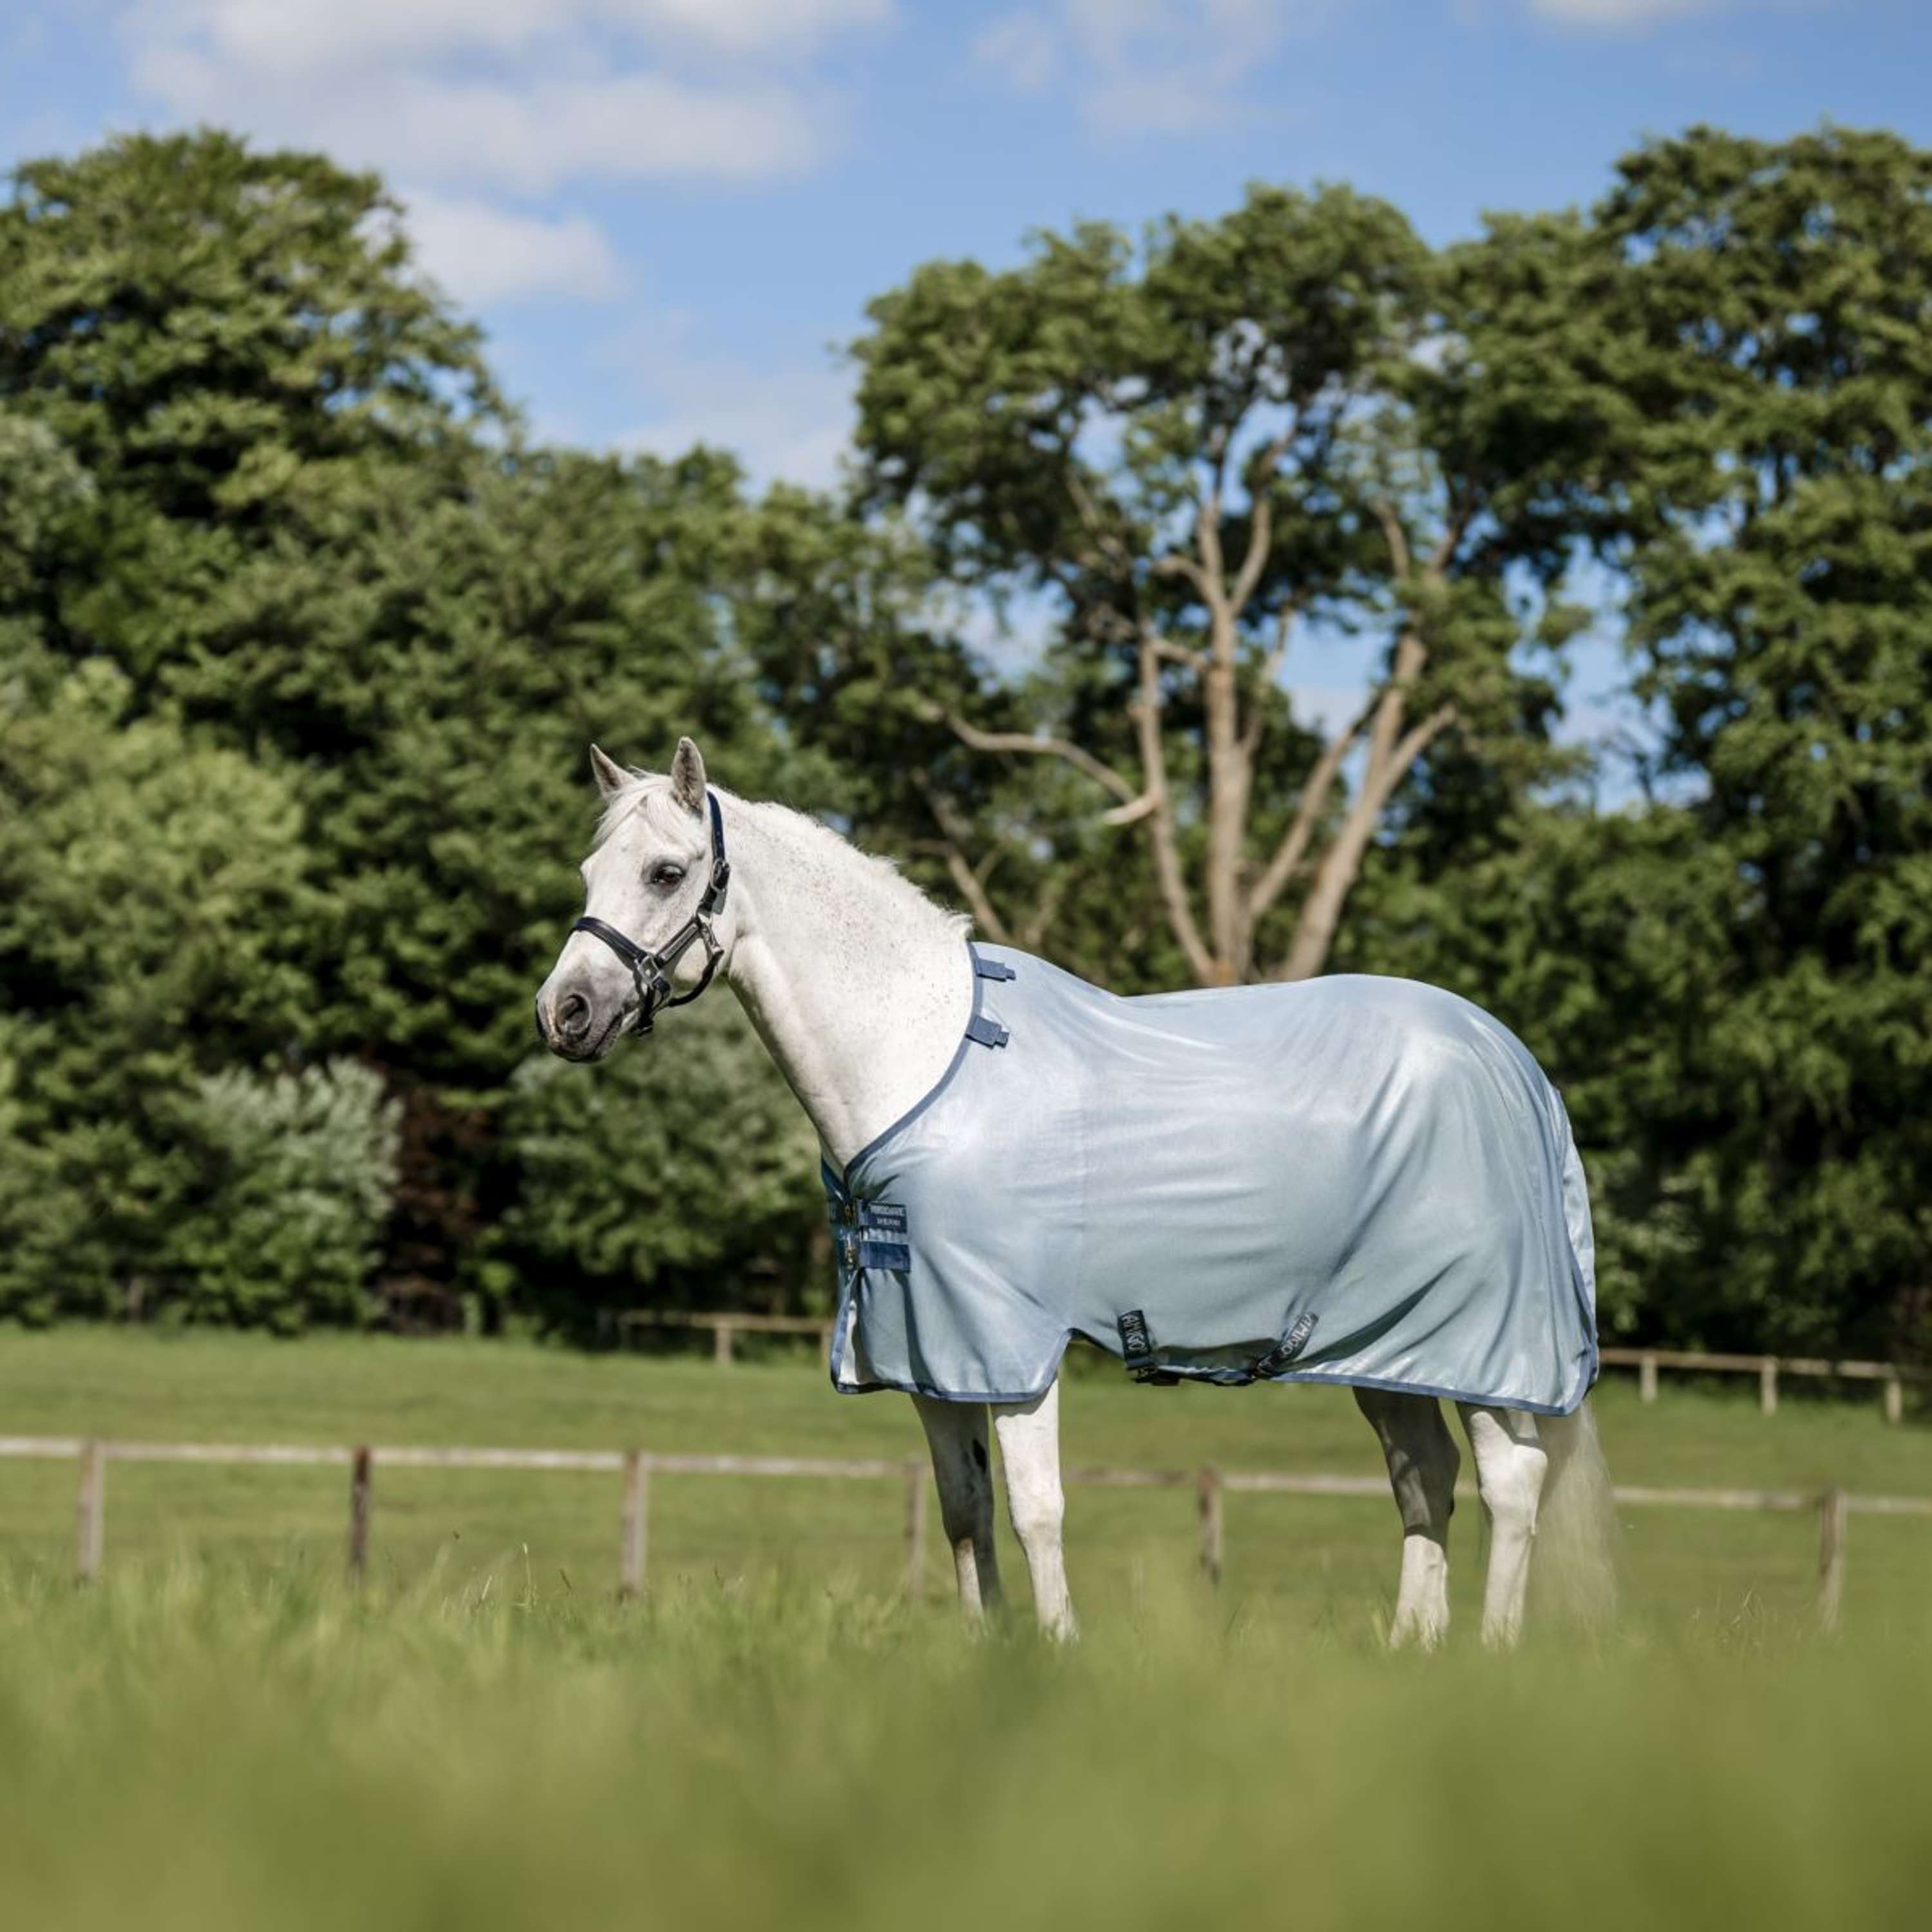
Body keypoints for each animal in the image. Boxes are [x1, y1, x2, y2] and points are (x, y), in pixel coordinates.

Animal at [533, 737, 1617, 1647]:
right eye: (589, 873)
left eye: (666, 872)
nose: (565, 1012)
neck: (924, 1060)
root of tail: (1513, 1064)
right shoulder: (932, 1352)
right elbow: (964, 1508)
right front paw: (987, 1652)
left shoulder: (1011, 1346)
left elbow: (1035, 1509)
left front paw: (1056, 1657)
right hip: (1388, 1348)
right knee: (1423, 1478)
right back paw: (1411, 1652)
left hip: (1481, 1345)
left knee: (1510, 1481)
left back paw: (1490, 1654)